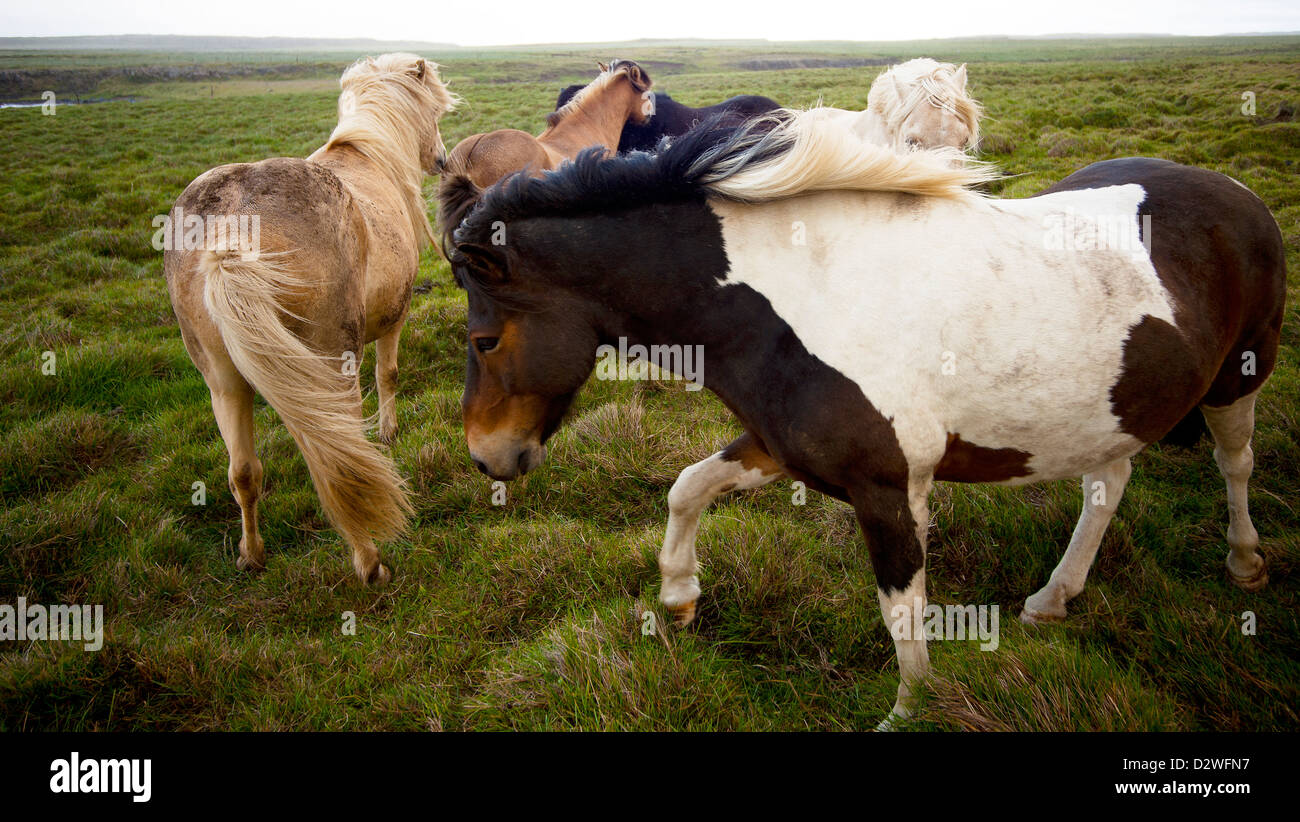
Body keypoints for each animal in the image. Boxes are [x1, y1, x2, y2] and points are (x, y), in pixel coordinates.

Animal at [164, 54, 457, 584]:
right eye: (435, 113)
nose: (441, 159)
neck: (368, 153)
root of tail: (233, 232)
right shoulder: (394, 319)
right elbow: (388, 374)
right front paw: (389, 433)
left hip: (223, 383)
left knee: (244, 472)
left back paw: (252, 555)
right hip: (331, 362)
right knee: (339, 457)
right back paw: (370, 562)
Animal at [446, 109, 1285, 727]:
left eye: (483, 339)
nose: (487, 456)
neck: (795, 295)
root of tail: (1237, 191)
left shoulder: (887, 490)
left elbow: (903, 616)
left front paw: (913, 712)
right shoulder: (783, 448)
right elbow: (687, 486)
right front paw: (679, 597)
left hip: (1237, 381)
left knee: (1234, 464)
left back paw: (1245, 561)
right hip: (1110, 408)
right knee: (1107, 485)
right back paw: (1055, 597)